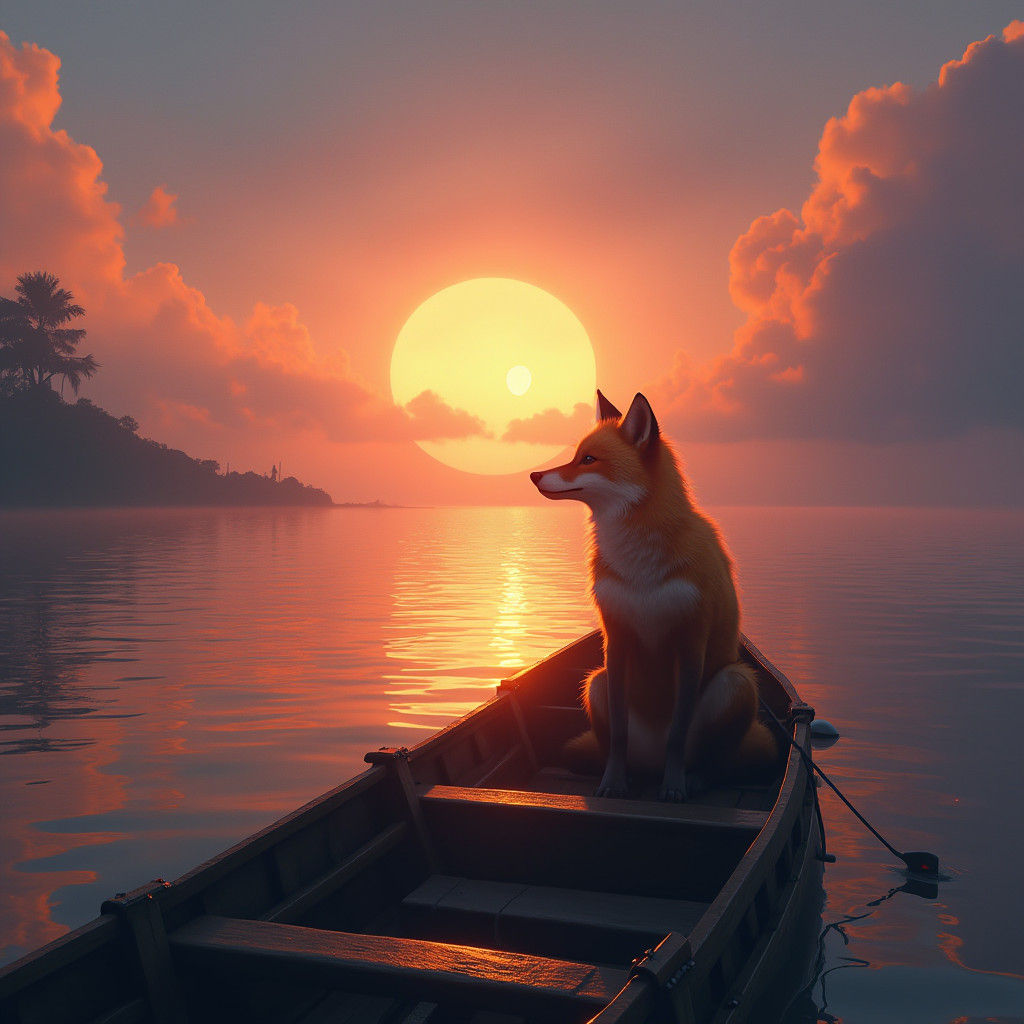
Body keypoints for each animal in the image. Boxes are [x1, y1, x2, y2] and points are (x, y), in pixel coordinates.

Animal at [530, 390, 779, 801]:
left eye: (588, 459)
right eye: (577, 455)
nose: (533, 475)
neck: (640, 568)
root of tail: (650, 764)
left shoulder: (691, 639)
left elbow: (677, 734)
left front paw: (674, 786)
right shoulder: (616, 639)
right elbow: (618, 734)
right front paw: (612, 782)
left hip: (737, 683)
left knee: (716, 762)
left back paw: (693, 779)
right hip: (595, 683)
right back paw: (633, 776)